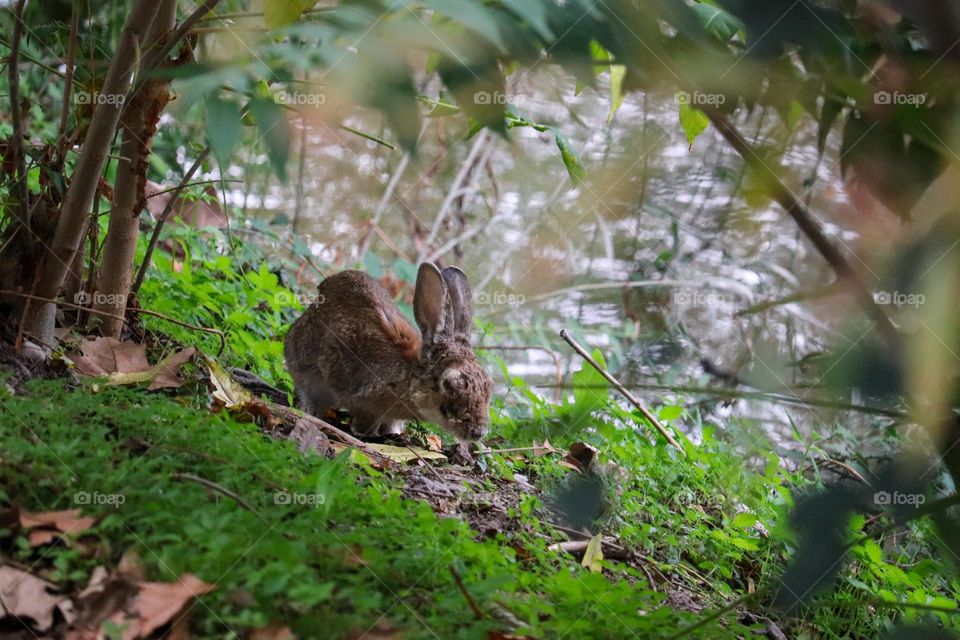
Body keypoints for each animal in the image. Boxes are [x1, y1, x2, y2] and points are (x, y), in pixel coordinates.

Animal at [284, 262, 496, 442]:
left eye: (488, 385)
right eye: (449, 383)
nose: (479, 432)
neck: (407, 377)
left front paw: (392, 432)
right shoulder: (365, 402)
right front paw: (366, 433)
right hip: (308, 370)